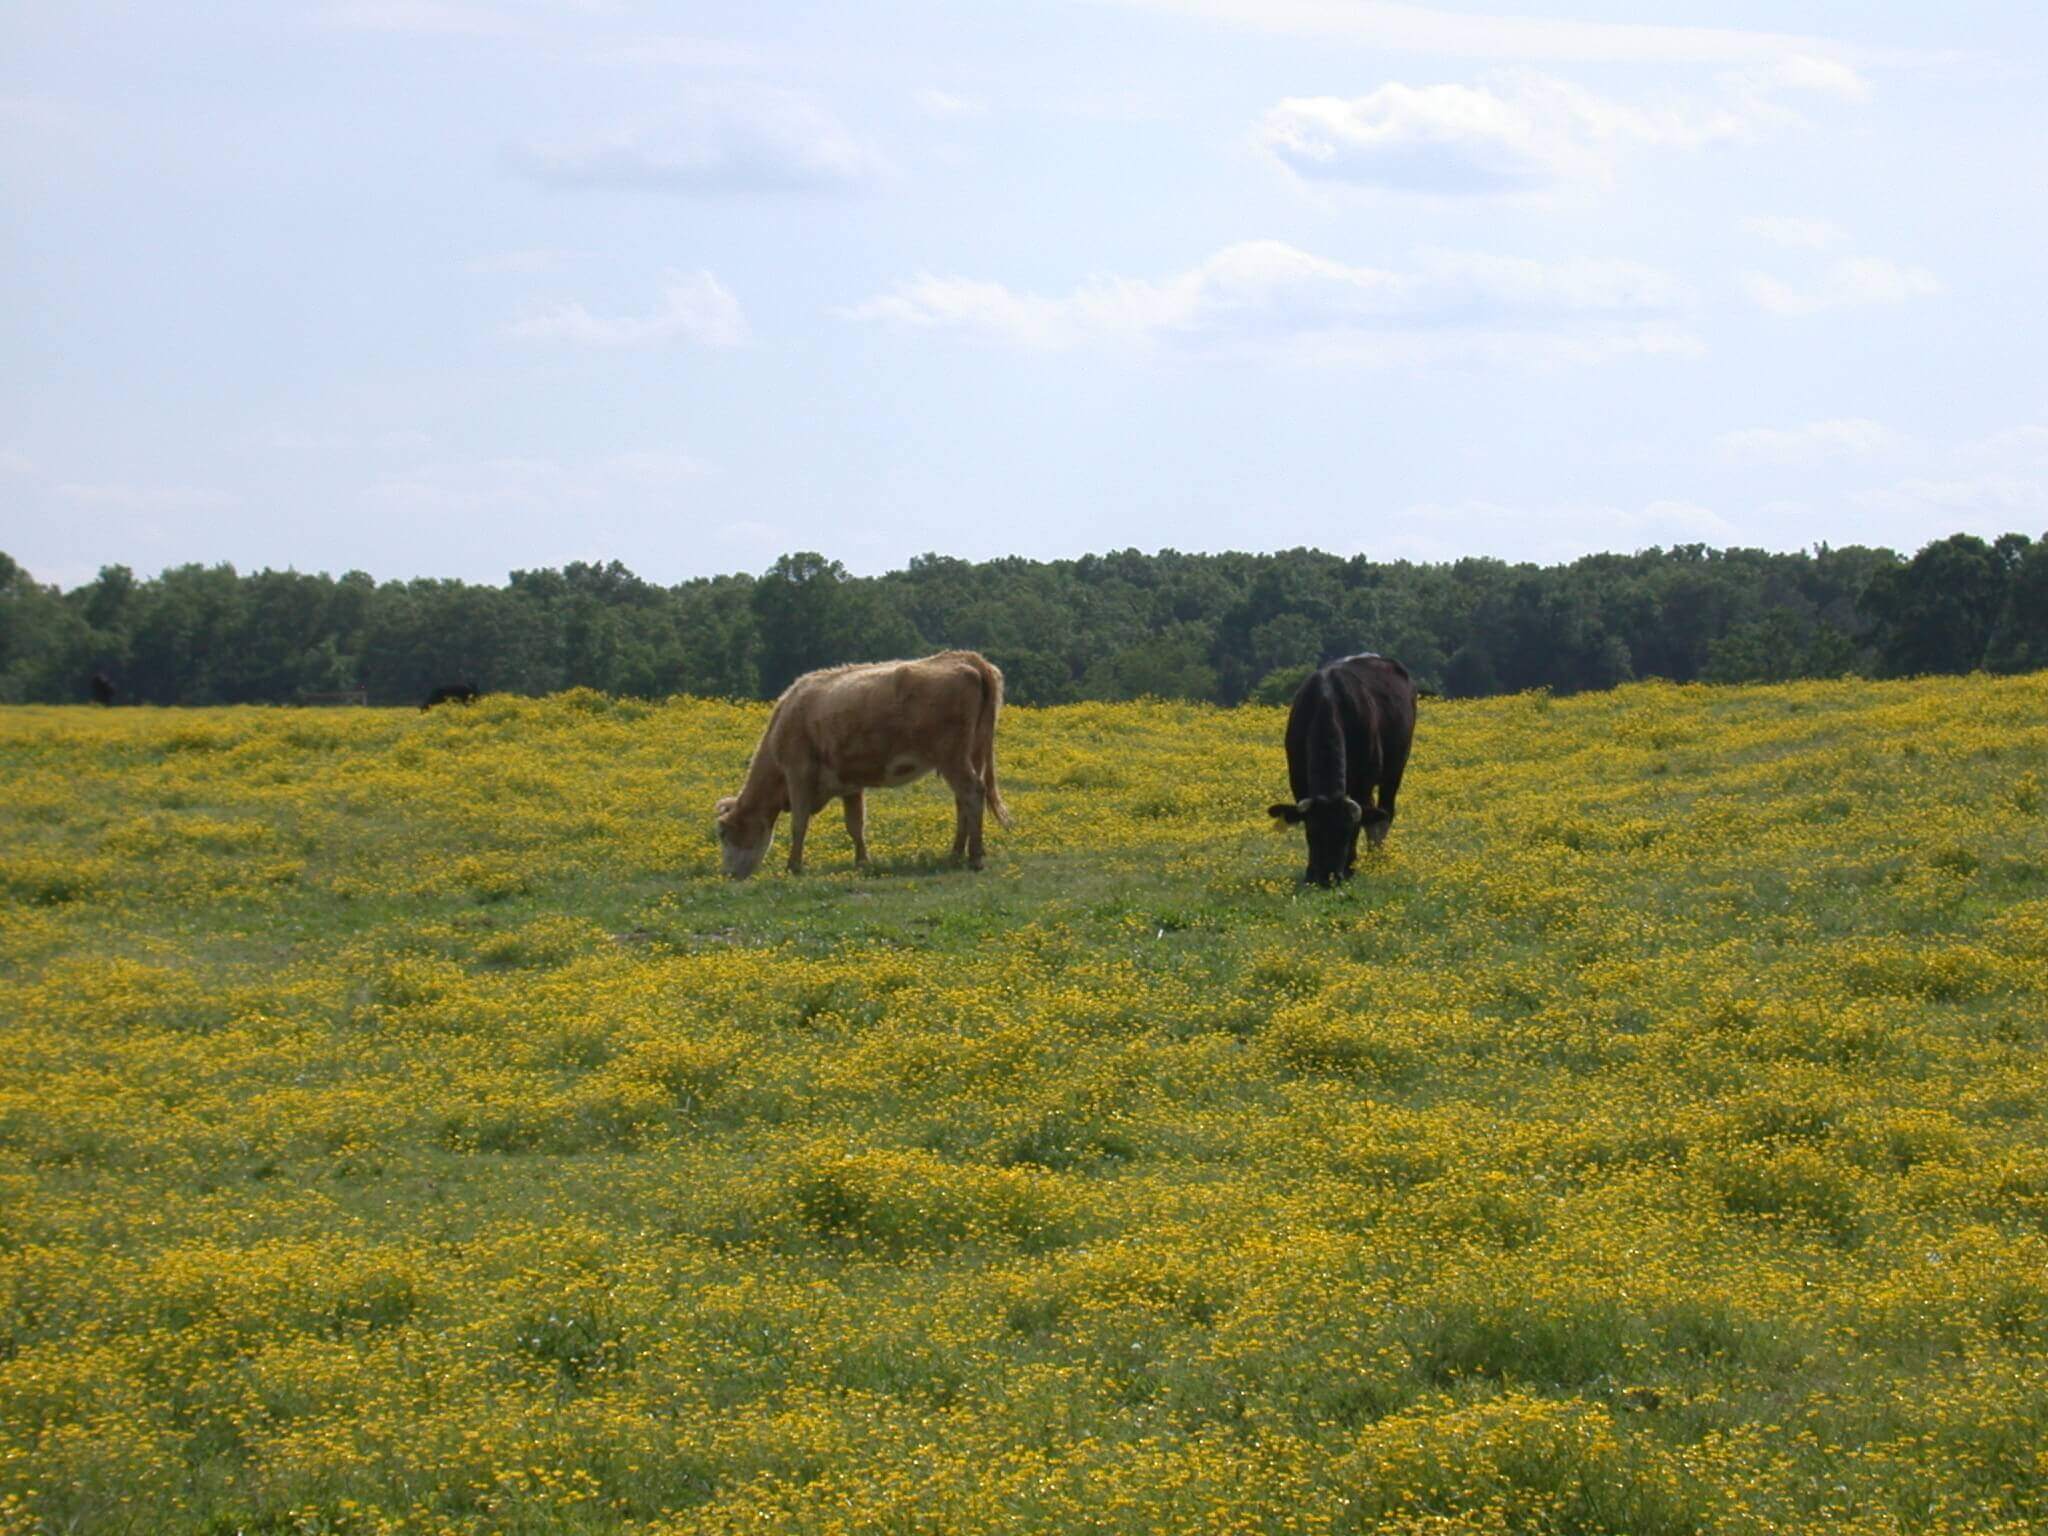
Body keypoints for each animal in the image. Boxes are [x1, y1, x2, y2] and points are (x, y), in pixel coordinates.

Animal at [716, 651, 1011, 876]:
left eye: (723, 833)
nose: (728, 874)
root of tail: (965, 658)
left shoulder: (798, 773)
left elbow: (799, 822)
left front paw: (794, 866)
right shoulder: (850, 784)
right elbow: (855, 825)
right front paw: (862, 862)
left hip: (952, 757)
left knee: (972, 793)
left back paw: (974, 858)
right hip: (970, 755)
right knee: (964, 800)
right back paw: (956, 854)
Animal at [1261, 651, 1409, 888]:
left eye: (1347, 833)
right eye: (1312, 831)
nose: (1327, 877)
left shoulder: (1363, 782)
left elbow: (1364, 820)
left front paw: (1350, 868)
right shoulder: (1297, 778)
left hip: (1394, 770)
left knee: (1384, 813)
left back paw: (1376, 860)